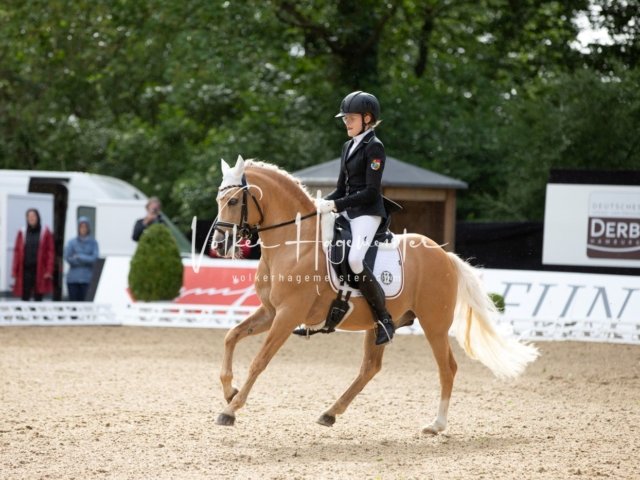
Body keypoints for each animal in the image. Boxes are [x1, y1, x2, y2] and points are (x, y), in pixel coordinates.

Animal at [212, 156, 538, 433]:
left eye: (234, 200)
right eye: (218, 200)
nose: (218, 244)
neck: (294, 245)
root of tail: (444, 255)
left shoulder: (288, 315)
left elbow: (259, 361)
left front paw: (230, 410)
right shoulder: (270, 312)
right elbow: (230, 336)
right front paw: (229, 391)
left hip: (434, 324)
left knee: (447, 367)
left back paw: (436, 424)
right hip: (379, 323)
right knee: (371, 367)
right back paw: (330, 413)